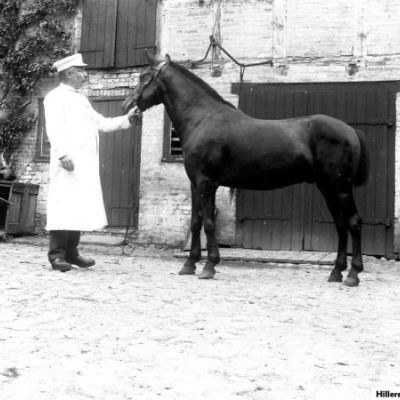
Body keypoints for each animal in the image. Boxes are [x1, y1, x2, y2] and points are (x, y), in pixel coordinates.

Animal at [124, 53, 368, 286]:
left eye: (144, 77)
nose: (126, 105)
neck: (202, 118)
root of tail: (351, 131)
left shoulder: (207, 183)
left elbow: (209, 223)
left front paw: (209, 266)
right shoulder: (195, 184)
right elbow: (195, 222)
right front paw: (189, 264)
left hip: (340, 189)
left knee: (353, 222)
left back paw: (353, 275)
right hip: (328, 188)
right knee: (341, 225)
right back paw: (336, 272)